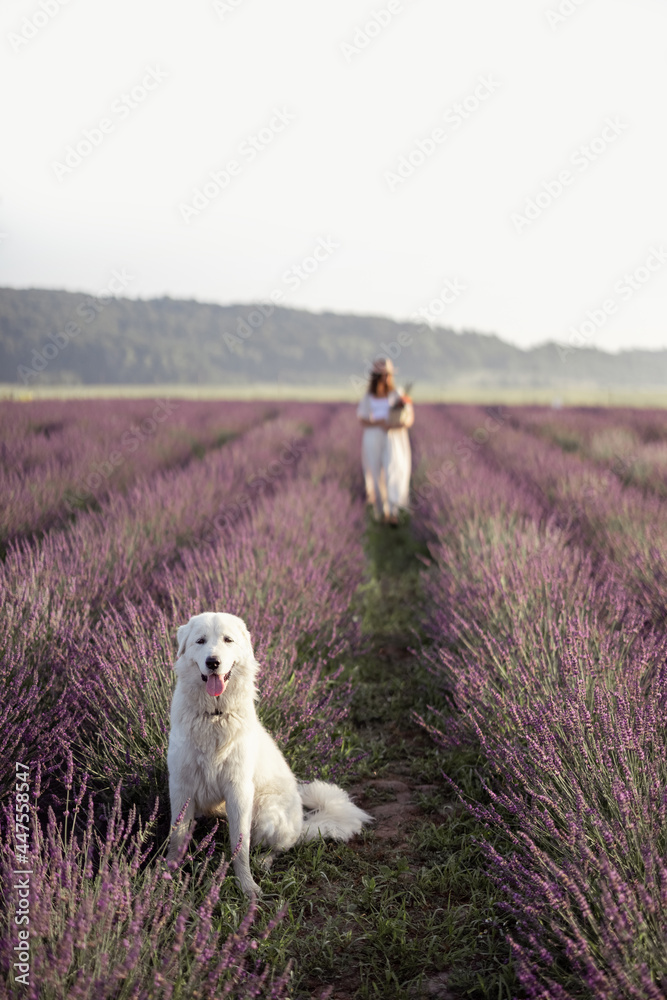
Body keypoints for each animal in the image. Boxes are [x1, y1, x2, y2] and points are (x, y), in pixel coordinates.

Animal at [165, 612, 374, 896]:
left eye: (228, 640)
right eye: (200, 641)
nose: (213, 662)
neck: (215, 716)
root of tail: (301, 824)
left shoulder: (239, 790)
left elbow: (240, 846)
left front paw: (246, 886)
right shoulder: (181, 785)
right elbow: (177, 836)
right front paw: (166, 875)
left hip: (266, 813)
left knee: (281, 847)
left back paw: (264, 860)